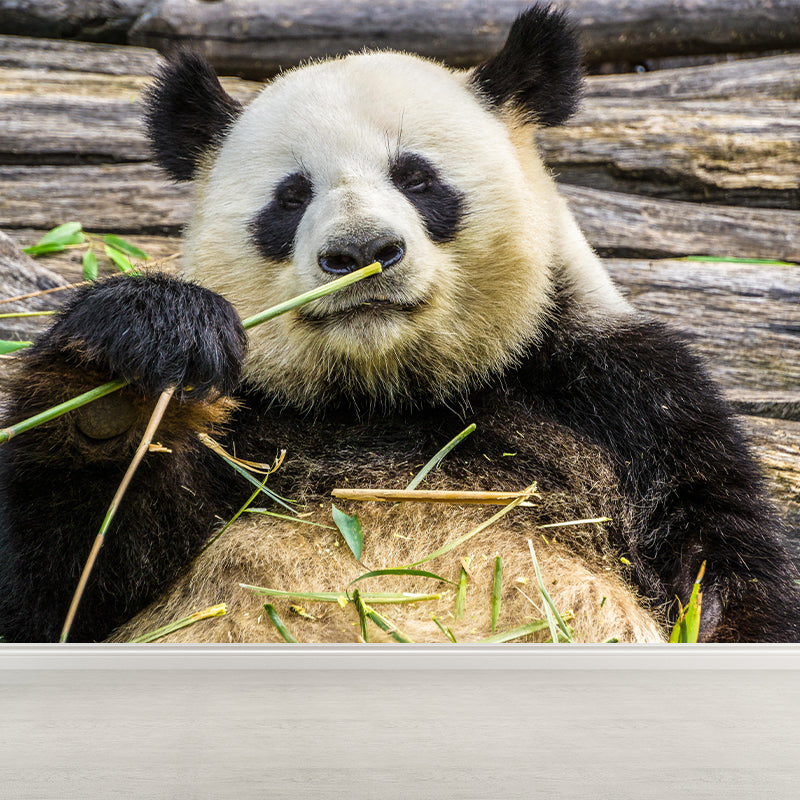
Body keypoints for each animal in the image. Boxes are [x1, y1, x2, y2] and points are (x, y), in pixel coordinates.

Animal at [2, 4, 799, 644]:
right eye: (291, 197)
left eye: (417, 178)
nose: (360, 252)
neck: (386, 393)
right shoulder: (249, 428)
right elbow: (61, 587)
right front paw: (123, 380)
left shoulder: (628, 404)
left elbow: (727, 578)